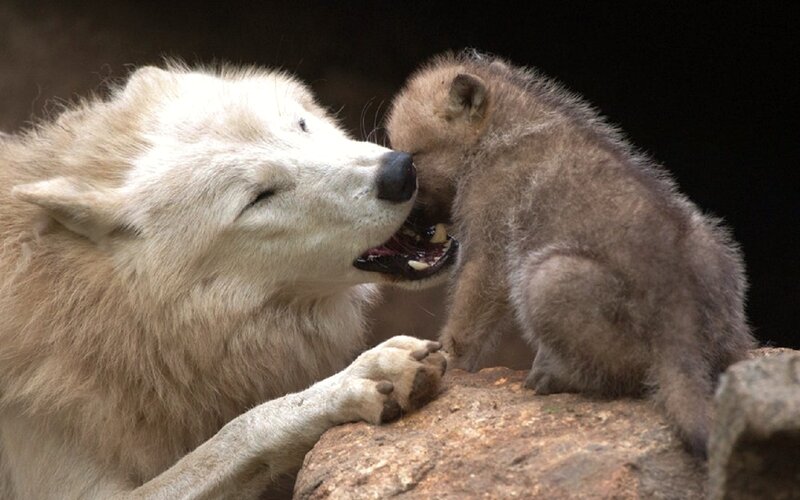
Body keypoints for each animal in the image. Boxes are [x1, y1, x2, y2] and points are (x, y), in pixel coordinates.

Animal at [386, 51, 755, 457]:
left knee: (627, 373)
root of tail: (681, 326)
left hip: (548, 278)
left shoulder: (490, 243)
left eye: (412, 159)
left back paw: (549, 375)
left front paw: (445, 359)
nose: (400, 225)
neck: (499, 133)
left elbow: (465, 319)